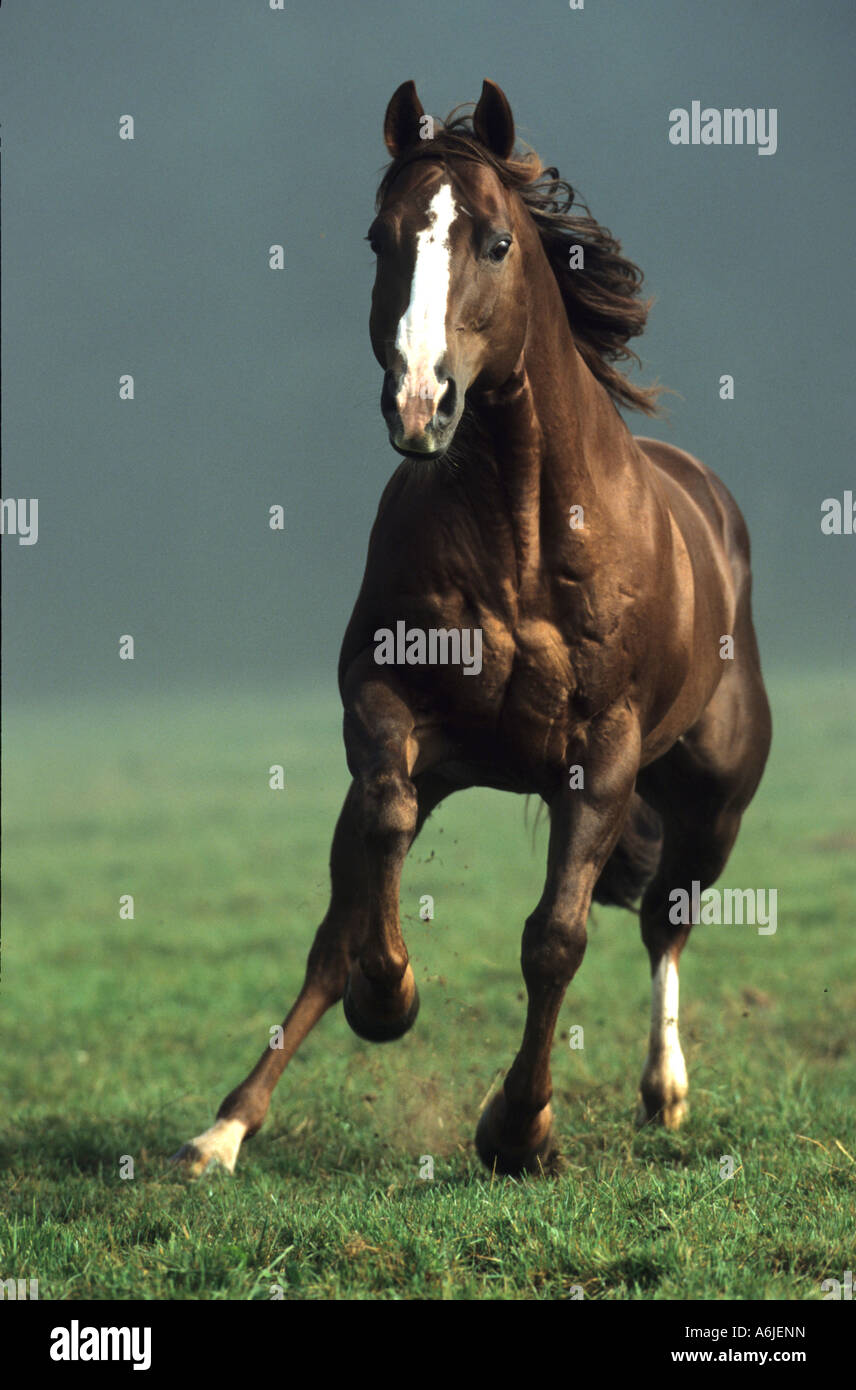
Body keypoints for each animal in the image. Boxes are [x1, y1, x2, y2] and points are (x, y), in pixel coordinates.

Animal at [174, 79, 772, 1178]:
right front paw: (389, 994)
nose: (421, 402)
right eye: (380, 238)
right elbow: (379, 837)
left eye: (495, 241)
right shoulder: (381, 700)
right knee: (338, 919)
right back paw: (225, 1129)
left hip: (713, 804)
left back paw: (664, 1091)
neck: (524, 537)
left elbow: (556, 937)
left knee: (664, 922)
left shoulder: (604, 754)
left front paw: (520, 1128)